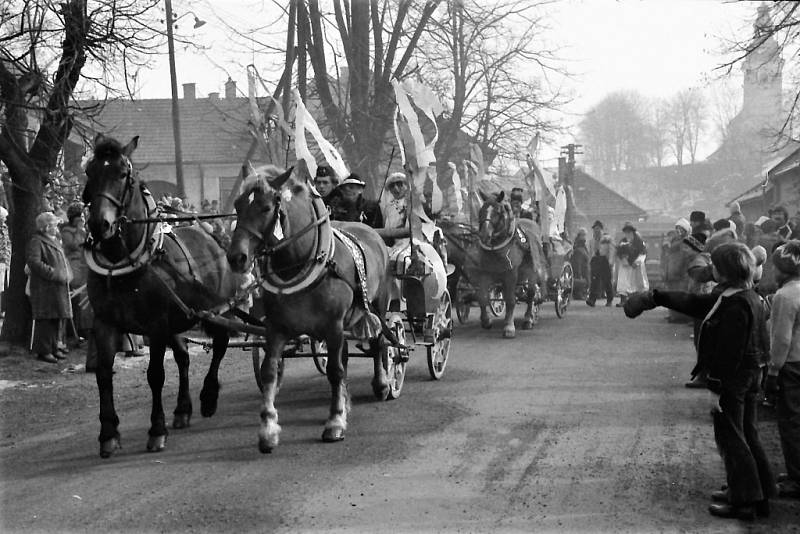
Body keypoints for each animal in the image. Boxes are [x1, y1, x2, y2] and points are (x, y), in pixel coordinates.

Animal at [82, 136, 238, 458]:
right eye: (90, 172)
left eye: (123, 174)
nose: (99, 225)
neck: (122, 262)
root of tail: (211, 236)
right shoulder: (105, 322)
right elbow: (103, 374)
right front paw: (108, 433)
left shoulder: (154, 324)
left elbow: (155, 374)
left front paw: (156, 430)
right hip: (178, 318)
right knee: (183, 357)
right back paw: (182, 409)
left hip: (216, 311)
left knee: (219, 346)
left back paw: (208, 396)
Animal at [227, 163, 392, 452]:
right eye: (237, 205)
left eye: (266, 207)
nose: (237, 258)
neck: (302, 262)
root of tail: (372, 232)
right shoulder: (276, 327)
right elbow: (269, 372)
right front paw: (268, 428)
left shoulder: (333, 325)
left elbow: (335, 371)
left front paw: (335, 422)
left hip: (377, 309)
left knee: (378, 343)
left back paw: (382, 383)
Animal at [440, 192, 548, 340]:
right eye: (481, 211)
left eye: (498, 212)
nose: (484, 234)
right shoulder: (483, 274)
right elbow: (483, 297)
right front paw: (486, 321)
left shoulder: (510, 273)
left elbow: (510, 300)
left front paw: (509, 327)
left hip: (532, 272)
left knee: (531, 294)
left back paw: (528, 319)